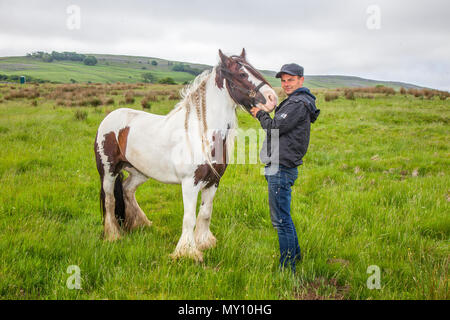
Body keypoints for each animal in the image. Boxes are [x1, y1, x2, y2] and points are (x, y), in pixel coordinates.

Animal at [95, 48, 278, 262]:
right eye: (241, 74)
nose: (273, 98)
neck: (201, 133)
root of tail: (109, 118)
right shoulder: (190, 183)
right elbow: (189, 217)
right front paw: (187, 252)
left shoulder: (213, 182)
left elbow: (205, 213)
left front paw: (205, 242)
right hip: (108, 171)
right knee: (109, 199)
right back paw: (113, 235)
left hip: (140, 172)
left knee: (127, 190)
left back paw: (141, 223)